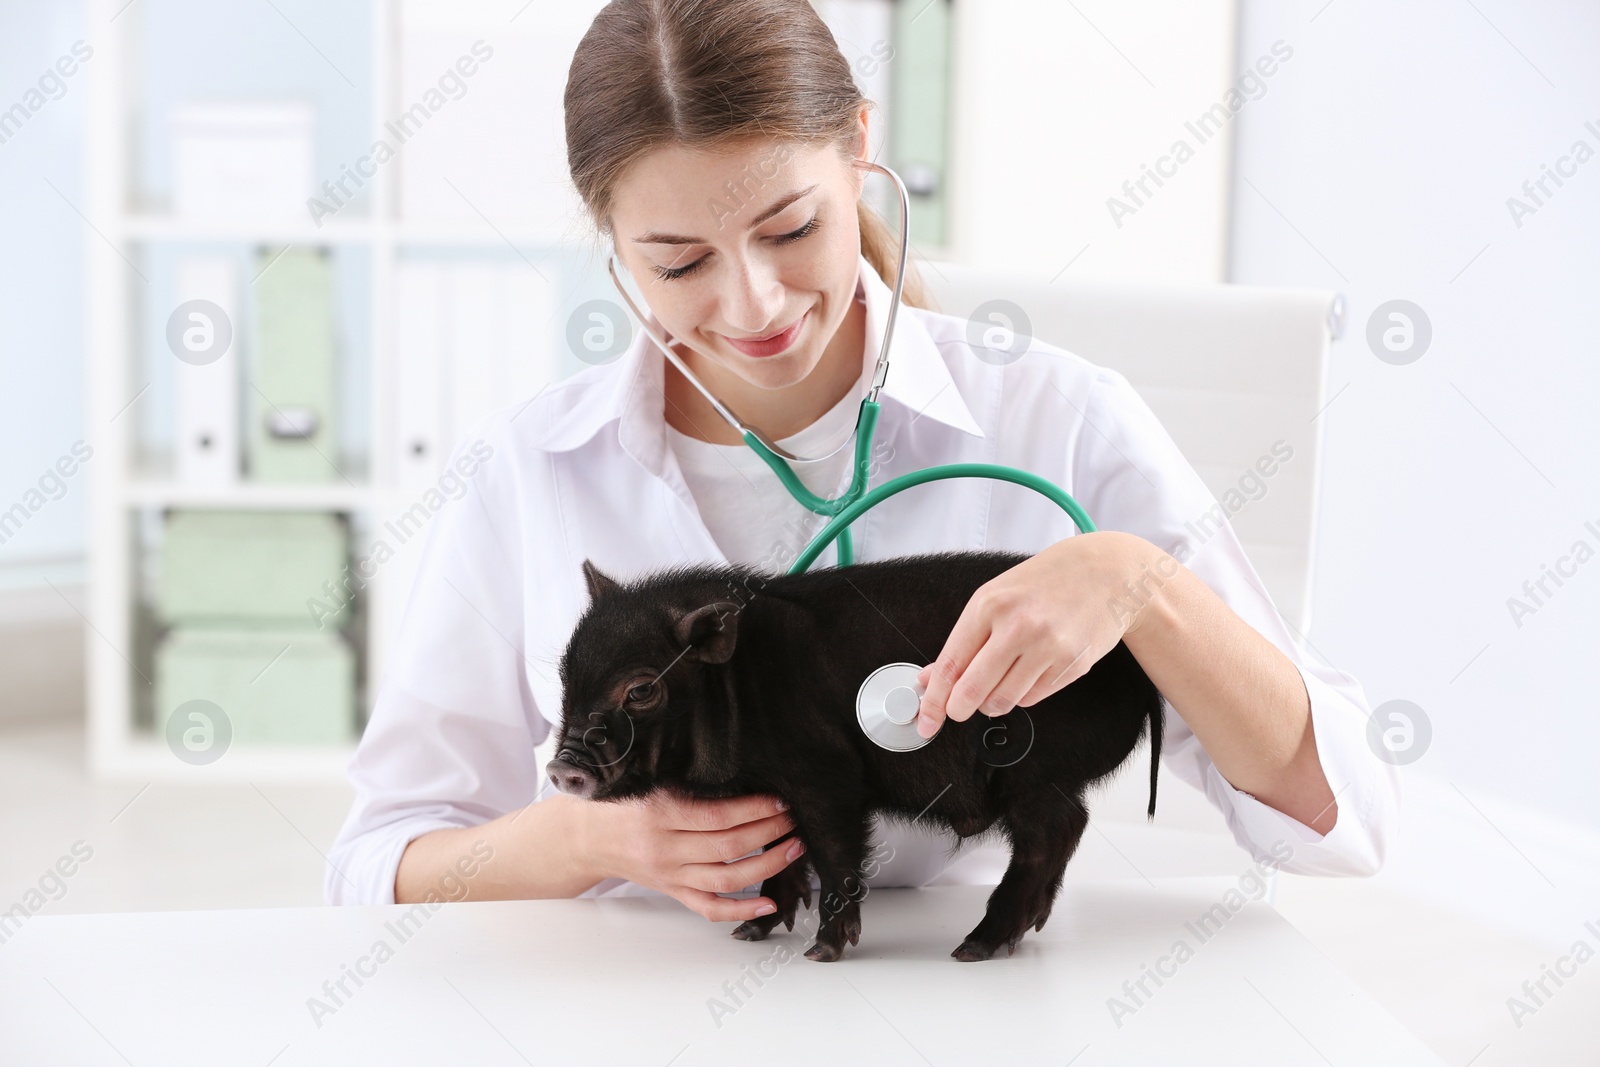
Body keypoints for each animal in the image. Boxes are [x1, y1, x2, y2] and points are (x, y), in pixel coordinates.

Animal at [547, 556, 1164, 966]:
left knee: (1055, 833)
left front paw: (821, 953)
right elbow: (778, 856)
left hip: (1037, 773)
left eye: (641, 690)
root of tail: (1138, 670)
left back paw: (973, 948)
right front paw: (748, 933)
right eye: (564, 674)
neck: (738, 685)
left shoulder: (827, 776)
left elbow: (834, 853)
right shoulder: (775, 792)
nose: (560, 768)